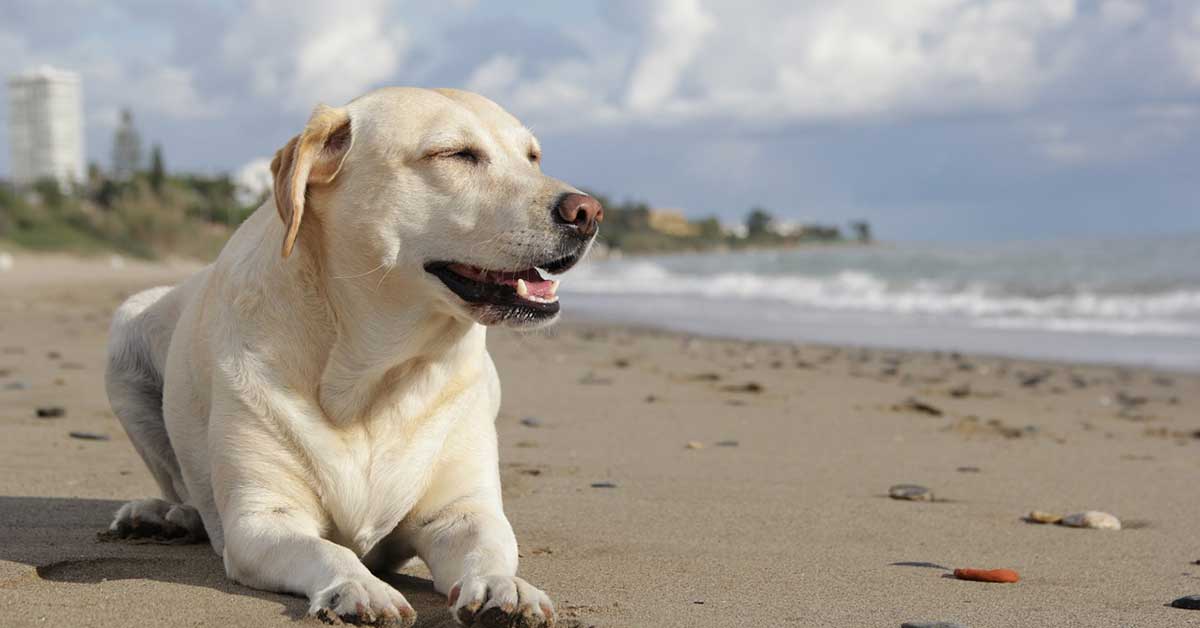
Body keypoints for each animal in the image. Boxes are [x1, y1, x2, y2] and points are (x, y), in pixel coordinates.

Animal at [105, 88, 600, 628]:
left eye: (533, 157)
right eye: (455, 154)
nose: (588, 211)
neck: (374, 376)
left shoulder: (462, 511)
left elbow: (489, 545)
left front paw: (504, 586)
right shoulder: (261, 520)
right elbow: (328, 550)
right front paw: (361, 586)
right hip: (124, 332)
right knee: (181, 486)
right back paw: (163, 515)